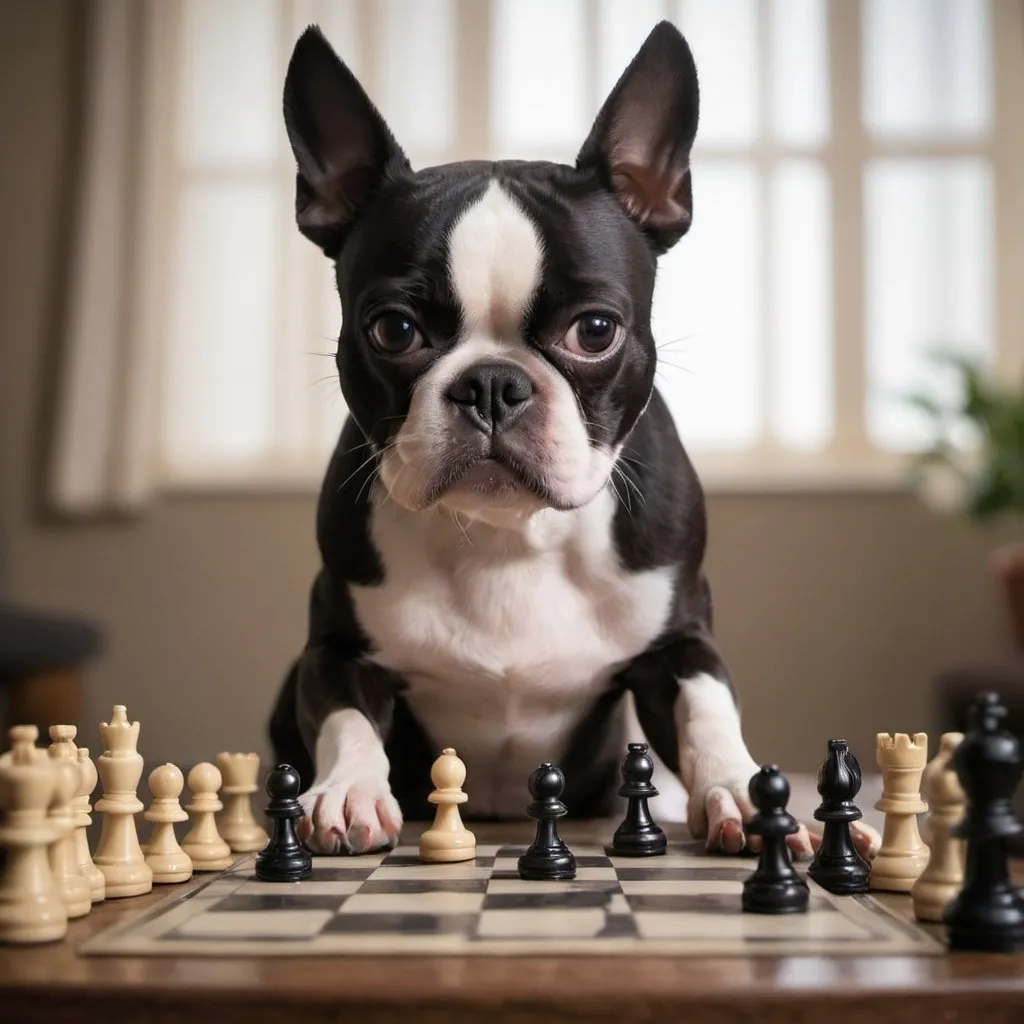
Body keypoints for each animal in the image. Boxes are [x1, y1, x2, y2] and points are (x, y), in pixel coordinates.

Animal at [268, 19, 876, 860]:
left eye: (594, 331)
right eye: (393, 330)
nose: (492, 384)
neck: (510, 538)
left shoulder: (679, 642)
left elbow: (707, 710)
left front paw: (746, 794)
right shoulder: (332, 648)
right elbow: (345, 718)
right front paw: (350, 791)